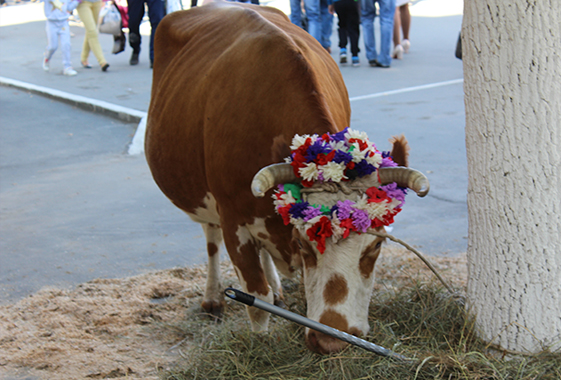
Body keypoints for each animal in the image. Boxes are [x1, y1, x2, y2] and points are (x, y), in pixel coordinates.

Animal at [147, 2, 426, 354]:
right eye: (304, 243)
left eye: (375, 245)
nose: (331, 340)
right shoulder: (233, 221)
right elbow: (257, 298)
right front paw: (261, 346)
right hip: (204, 199)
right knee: (210, 239)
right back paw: (212, 298)